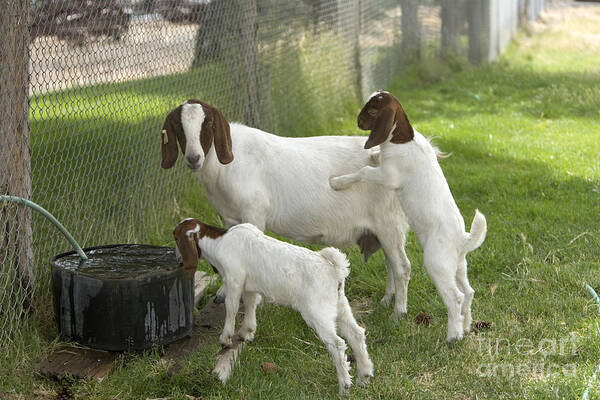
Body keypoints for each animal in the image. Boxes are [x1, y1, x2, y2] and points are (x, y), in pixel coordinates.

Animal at [159, 99, 412, 316]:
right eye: (178, 127)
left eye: (208, 124)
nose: (193, 158)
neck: (226, 165)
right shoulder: (230, 217)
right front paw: (224, 293)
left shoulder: (254, 214)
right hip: (386, 228)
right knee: (391, 263)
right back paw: (386, 301)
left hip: (389, 222)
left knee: (402, 266)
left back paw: (398, 312)